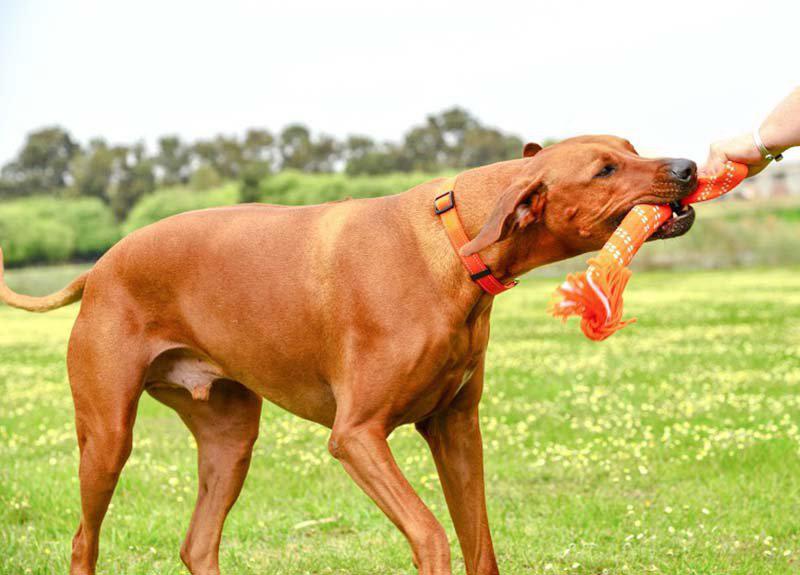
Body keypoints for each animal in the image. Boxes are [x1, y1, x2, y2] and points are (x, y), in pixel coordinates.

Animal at [0, 135, 697, 575]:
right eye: (605, 169)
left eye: (632, 147)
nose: (690, 166)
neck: (453, 242)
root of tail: (98, 267)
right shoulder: (357, 435)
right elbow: (431, 534)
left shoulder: (456, 429)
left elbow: (480, 545)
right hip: (107, 438)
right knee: (83, 542)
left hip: (230, 439)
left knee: (197, 546)